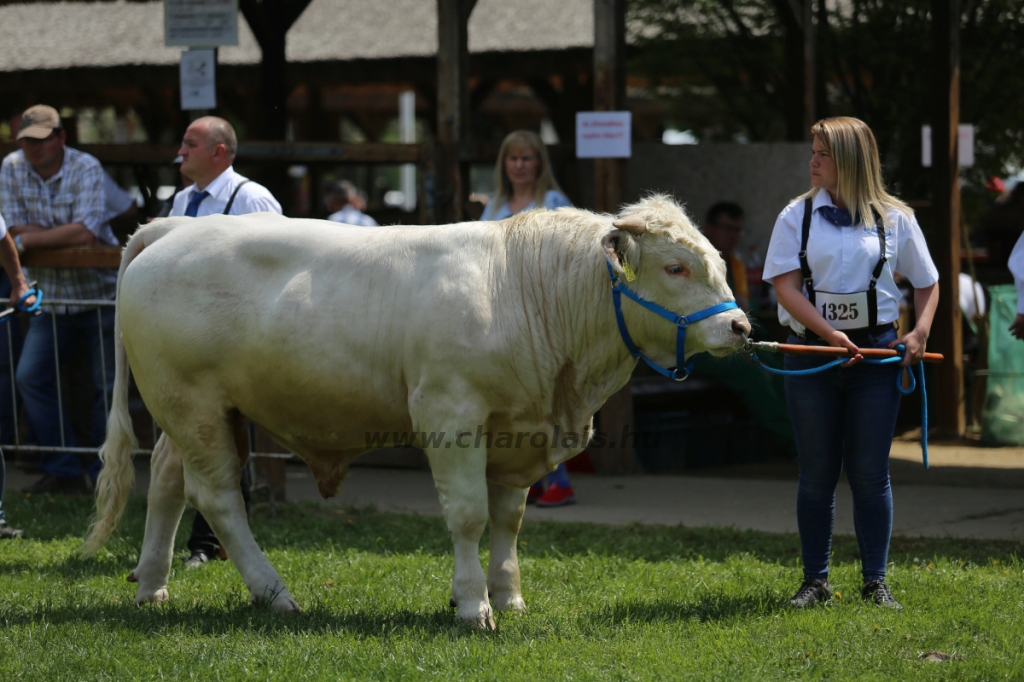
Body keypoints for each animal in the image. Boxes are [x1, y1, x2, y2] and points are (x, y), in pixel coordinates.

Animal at [81, 193, 753, 622]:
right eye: (676, 267)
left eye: (718, 262)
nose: (742, 327)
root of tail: (172, 228)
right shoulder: (451, 417)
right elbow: (469, 517)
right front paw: (473, 605)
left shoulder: (516, 431)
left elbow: (509, 519)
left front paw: (508, 596)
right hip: (192, 404)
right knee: (217, 497)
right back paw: (275, 594)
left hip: (193, 410)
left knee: (167, 481)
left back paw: (151, 586)